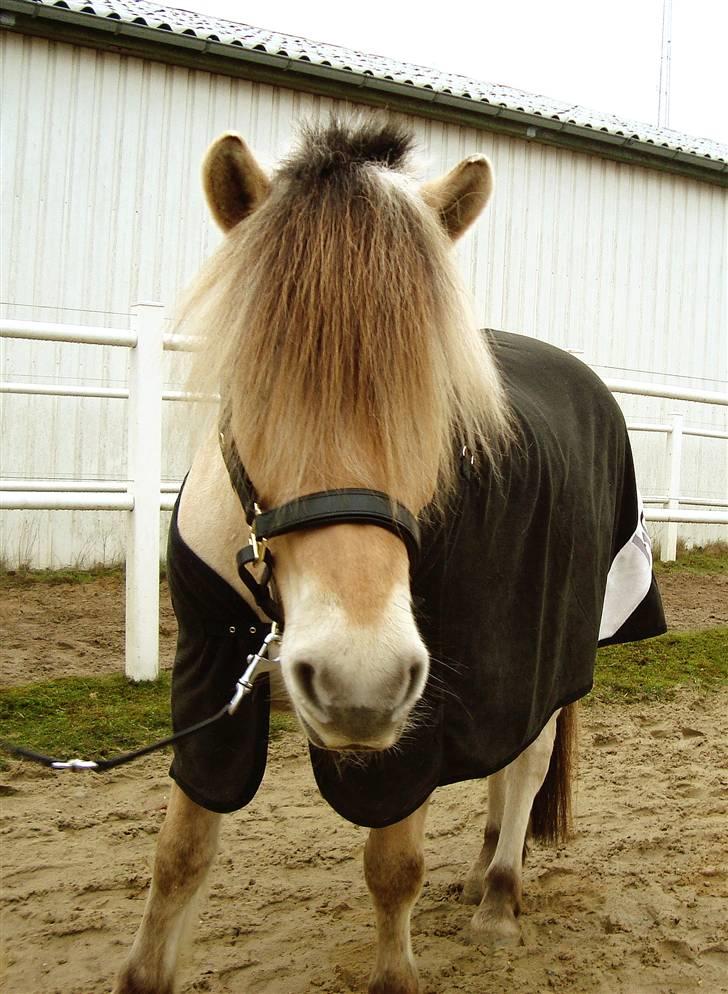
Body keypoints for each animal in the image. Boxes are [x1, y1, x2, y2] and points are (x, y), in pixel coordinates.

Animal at [114, 118, 664, 992]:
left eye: (434, 400)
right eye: (253, 382)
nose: (356, 678)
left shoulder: (421, 715)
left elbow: (393, 869)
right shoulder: (210, 675)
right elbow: (179, 857)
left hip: (540, 654)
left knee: (527, 761)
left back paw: (498, 899)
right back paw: (481, 873)